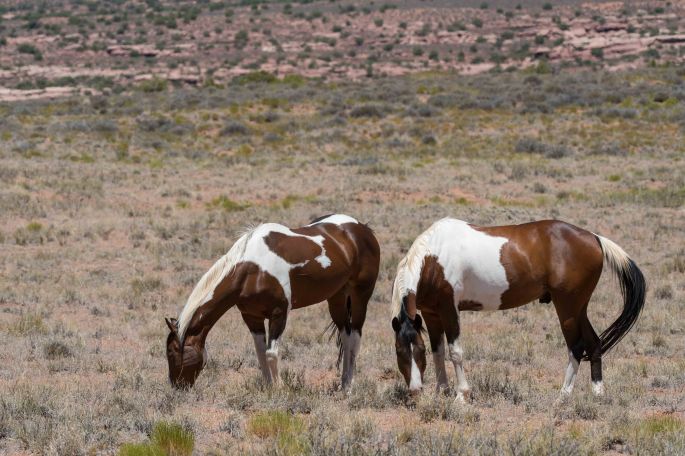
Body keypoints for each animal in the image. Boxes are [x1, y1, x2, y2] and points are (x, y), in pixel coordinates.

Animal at [165, 214, 380, 391]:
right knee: (346, 335)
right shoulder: (252, 317)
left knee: (355, 337)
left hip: (360, 296)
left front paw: (279, 389)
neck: (253, 269)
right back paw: (343, 384)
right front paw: (269, 388)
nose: (177, 386)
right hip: (336, 298)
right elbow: (261, 353)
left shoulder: (279, 313)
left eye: (172, 352)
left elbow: (271, 353)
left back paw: (349, 387)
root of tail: (363, 228)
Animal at [390, 218, 646, 401]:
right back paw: (597, 393)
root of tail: (594, 237)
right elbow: (438, 351)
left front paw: (461, 395)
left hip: (568, 307)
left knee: (576, 345)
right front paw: (441, 391)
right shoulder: (431, 314)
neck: (433, 257)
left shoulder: (449, 310)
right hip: (579, 308)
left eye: (416, 352)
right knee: (594, 342)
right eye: (400, 352)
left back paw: (563, 396)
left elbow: (455, 352)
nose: (415, 390)